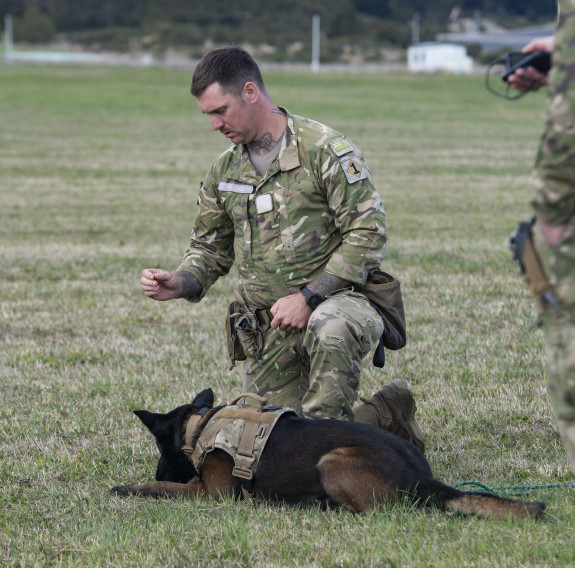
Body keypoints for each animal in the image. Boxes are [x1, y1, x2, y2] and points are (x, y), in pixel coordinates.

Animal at [110, 390, 548, 520]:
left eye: (159, 448)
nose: (158, 468)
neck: (202, 426)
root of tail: (424, 477)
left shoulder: (212, 494)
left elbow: (165, 489)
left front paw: (132, 486)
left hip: (334, 460)